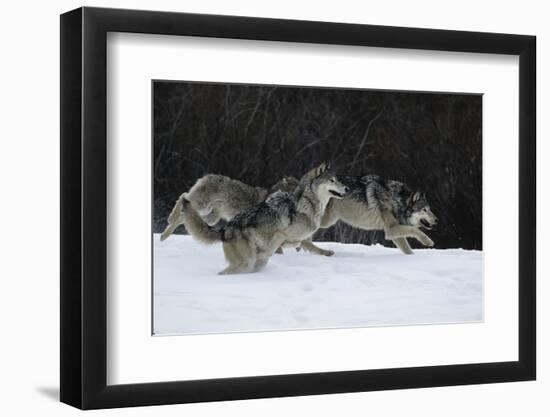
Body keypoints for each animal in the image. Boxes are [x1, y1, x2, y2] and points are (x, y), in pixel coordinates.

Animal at [179, 164, 350, 274]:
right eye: (332, 180)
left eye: (337, 179)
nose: (347, 188)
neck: (307, 204)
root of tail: (225, 229)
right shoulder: (282, 234)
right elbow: (282, 243)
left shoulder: (299, 239)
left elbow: (309, 245)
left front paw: (326, 252)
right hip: (245, 262)